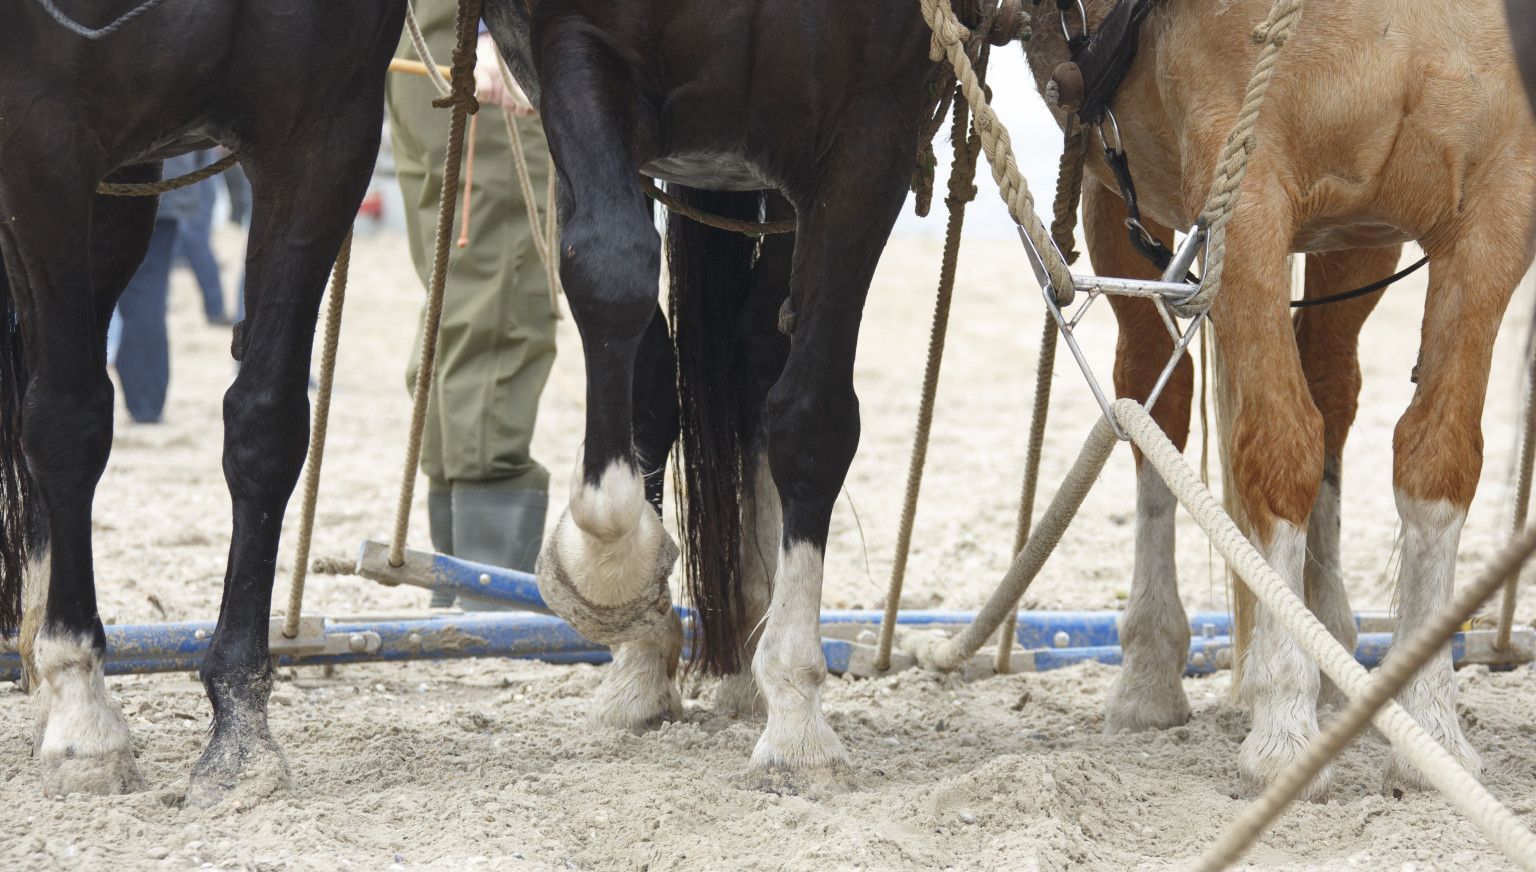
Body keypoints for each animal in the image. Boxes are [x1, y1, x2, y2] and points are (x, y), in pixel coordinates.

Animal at [0, 0, 405, 804]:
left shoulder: (324, 127)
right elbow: (66, 419)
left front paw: (241, 732)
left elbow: (266, 423)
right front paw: (83, 715)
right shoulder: (38, 130)